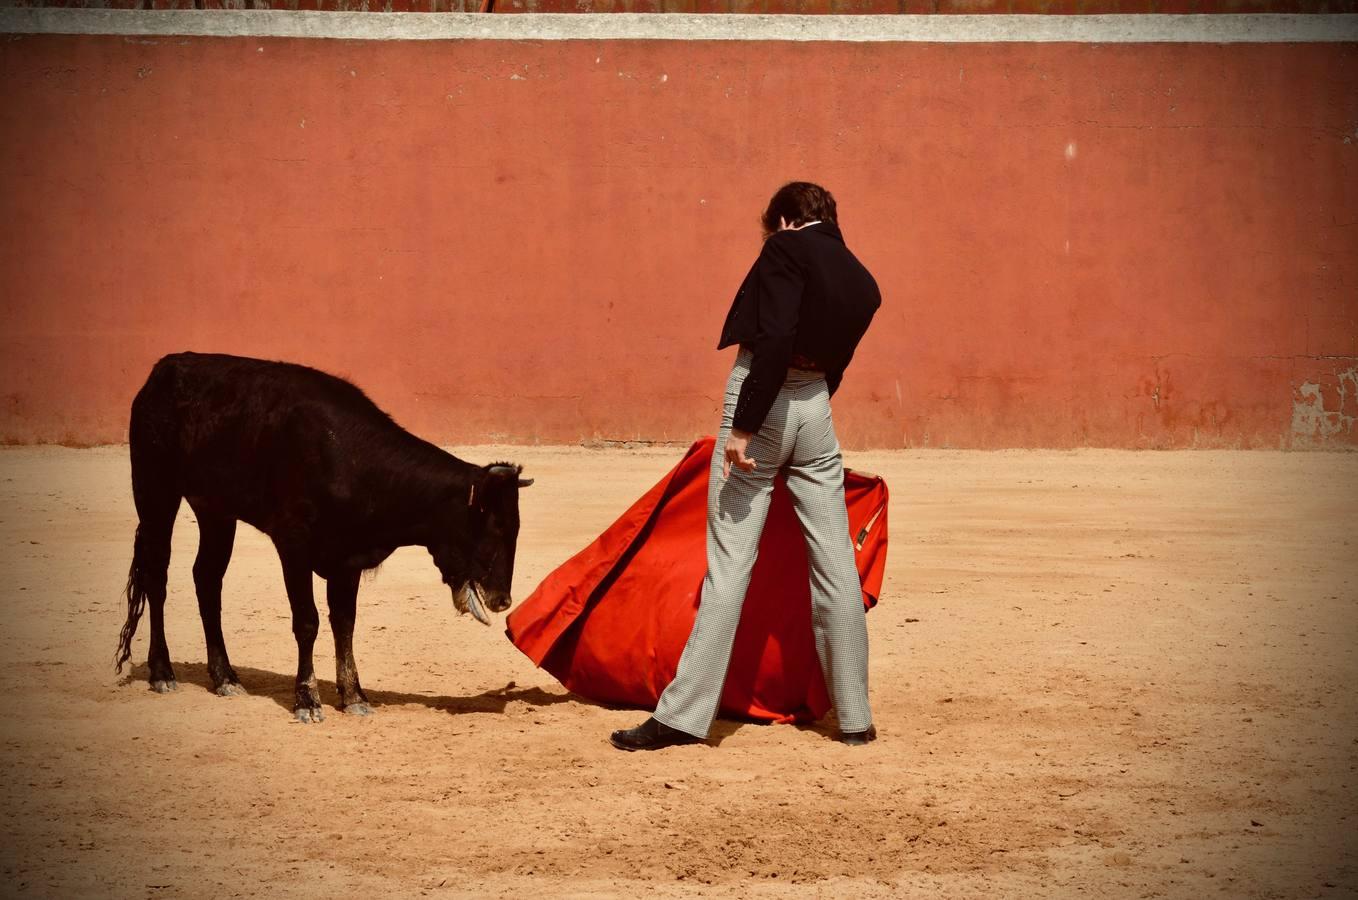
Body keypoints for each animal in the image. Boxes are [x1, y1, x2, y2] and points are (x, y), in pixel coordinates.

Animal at [115, 352, 529, 727]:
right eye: (494, 526)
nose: (502, 600)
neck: (351, 462)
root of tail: (162, 370)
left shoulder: (347, 558)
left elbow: (345, 622)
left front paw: (355, 697)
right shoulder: (293, 545)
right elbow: (307, 621)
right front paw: (308, 701)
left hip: (215, 511)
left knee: (207, 579)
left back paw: (226, 678)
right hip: (155, 491)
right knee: (157, 575)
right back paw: (162, 673)